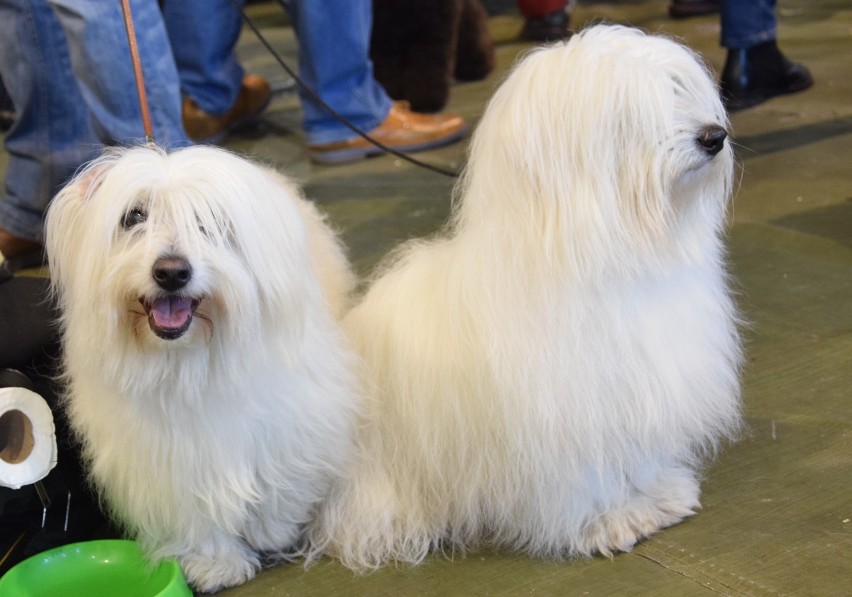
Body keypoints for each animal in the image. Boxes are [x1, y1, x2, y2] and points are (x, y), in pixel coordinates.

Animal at [45, 144, 358, 592]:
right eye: (133, 217)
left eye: (210, 221)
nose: (172, 272)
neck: (188, 363)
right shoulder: (165, 457)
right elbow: (192, 511)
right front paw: (216, 563)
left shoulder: (293, 415)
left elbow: (280, 478)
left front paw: (271, 529)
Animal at [310, 25, 744, 572]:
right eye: (628, 113)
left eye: (677, 89)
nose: (714, 136)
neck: (610, 258)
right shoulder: (559, 416)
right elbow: (583, 478)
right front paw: (607, 521)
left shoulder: (638, 389)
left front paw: (658, 494)